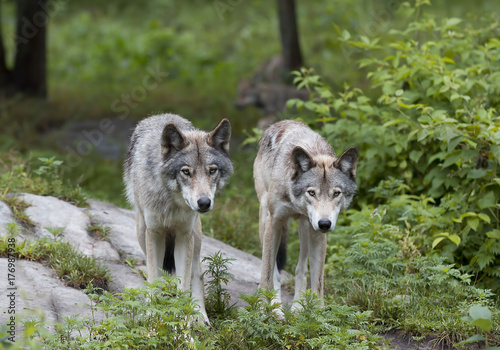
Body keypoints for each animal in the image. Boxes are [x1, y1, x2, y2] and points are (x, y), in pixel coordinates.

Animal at [125, 113, 234, 324]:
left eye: (212, 170)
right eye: (186, 171)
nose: (204, 202)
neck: (172, 203)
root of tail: (163, 115)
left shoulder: (185, 234)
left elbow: (184, 284)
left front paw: (183, 323)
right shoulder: (154, 233)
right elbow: (154, 277)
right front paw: (152, 315)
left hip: (196, 236)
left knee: (196, 274)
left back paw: (200, 316)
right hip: (141, 231)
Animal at [256, 121, 358, 312]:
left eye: (336, 193)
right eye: (311, 192)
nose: (325, 223)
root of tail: (282, 122)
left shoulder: (317, 233)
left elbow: (317, 283)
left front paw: (317, 315)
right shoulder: (274, 222)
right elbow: (267, 274)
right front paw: (262, 310)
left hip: (304, 227)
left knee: (301, 268)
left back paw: (297, 307)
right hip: (265, 219)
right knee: (274, 270)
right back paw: (277, 308)